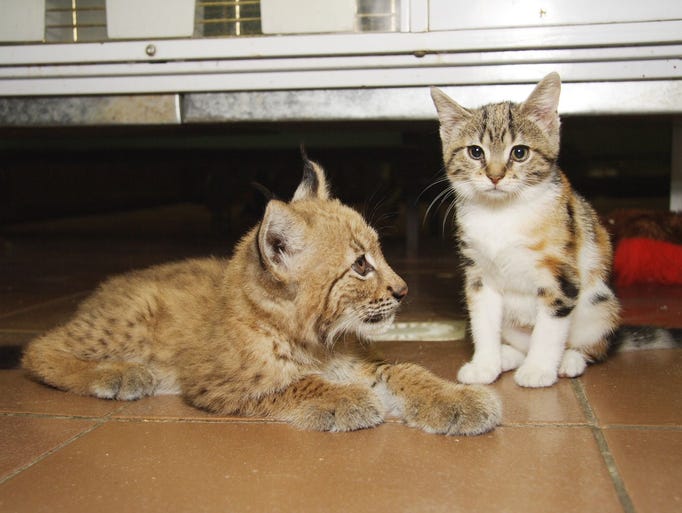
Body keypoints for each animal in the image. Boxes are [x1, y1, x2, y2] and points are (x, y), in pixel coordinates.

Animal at [22, 155, 500, 432]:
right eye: (361, 265)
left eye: (379, 253)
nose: (403, 291)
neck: (317, 342)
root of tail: (106, 285)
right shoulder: (216, 383)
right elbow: (293, 384)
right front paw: (344, 398)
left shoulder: (365, 361)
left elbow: (408, 371)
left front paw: (456, 400)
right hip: (132, 319)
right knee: (36, 347)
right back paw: (116, 374)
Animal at [430, 71, 620, 384]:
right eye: (475, 152)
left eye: (519, 152)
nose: (495, 176)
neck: (502, 214)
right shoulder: (479, 277)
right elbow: (483, 322)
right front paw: (485, 364)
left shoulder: (561, 276)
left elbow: (550, 327)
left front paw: (539, 370)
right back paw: (508, 356)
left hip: (600, 305)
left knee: (595, 345)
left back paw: (569, 359)